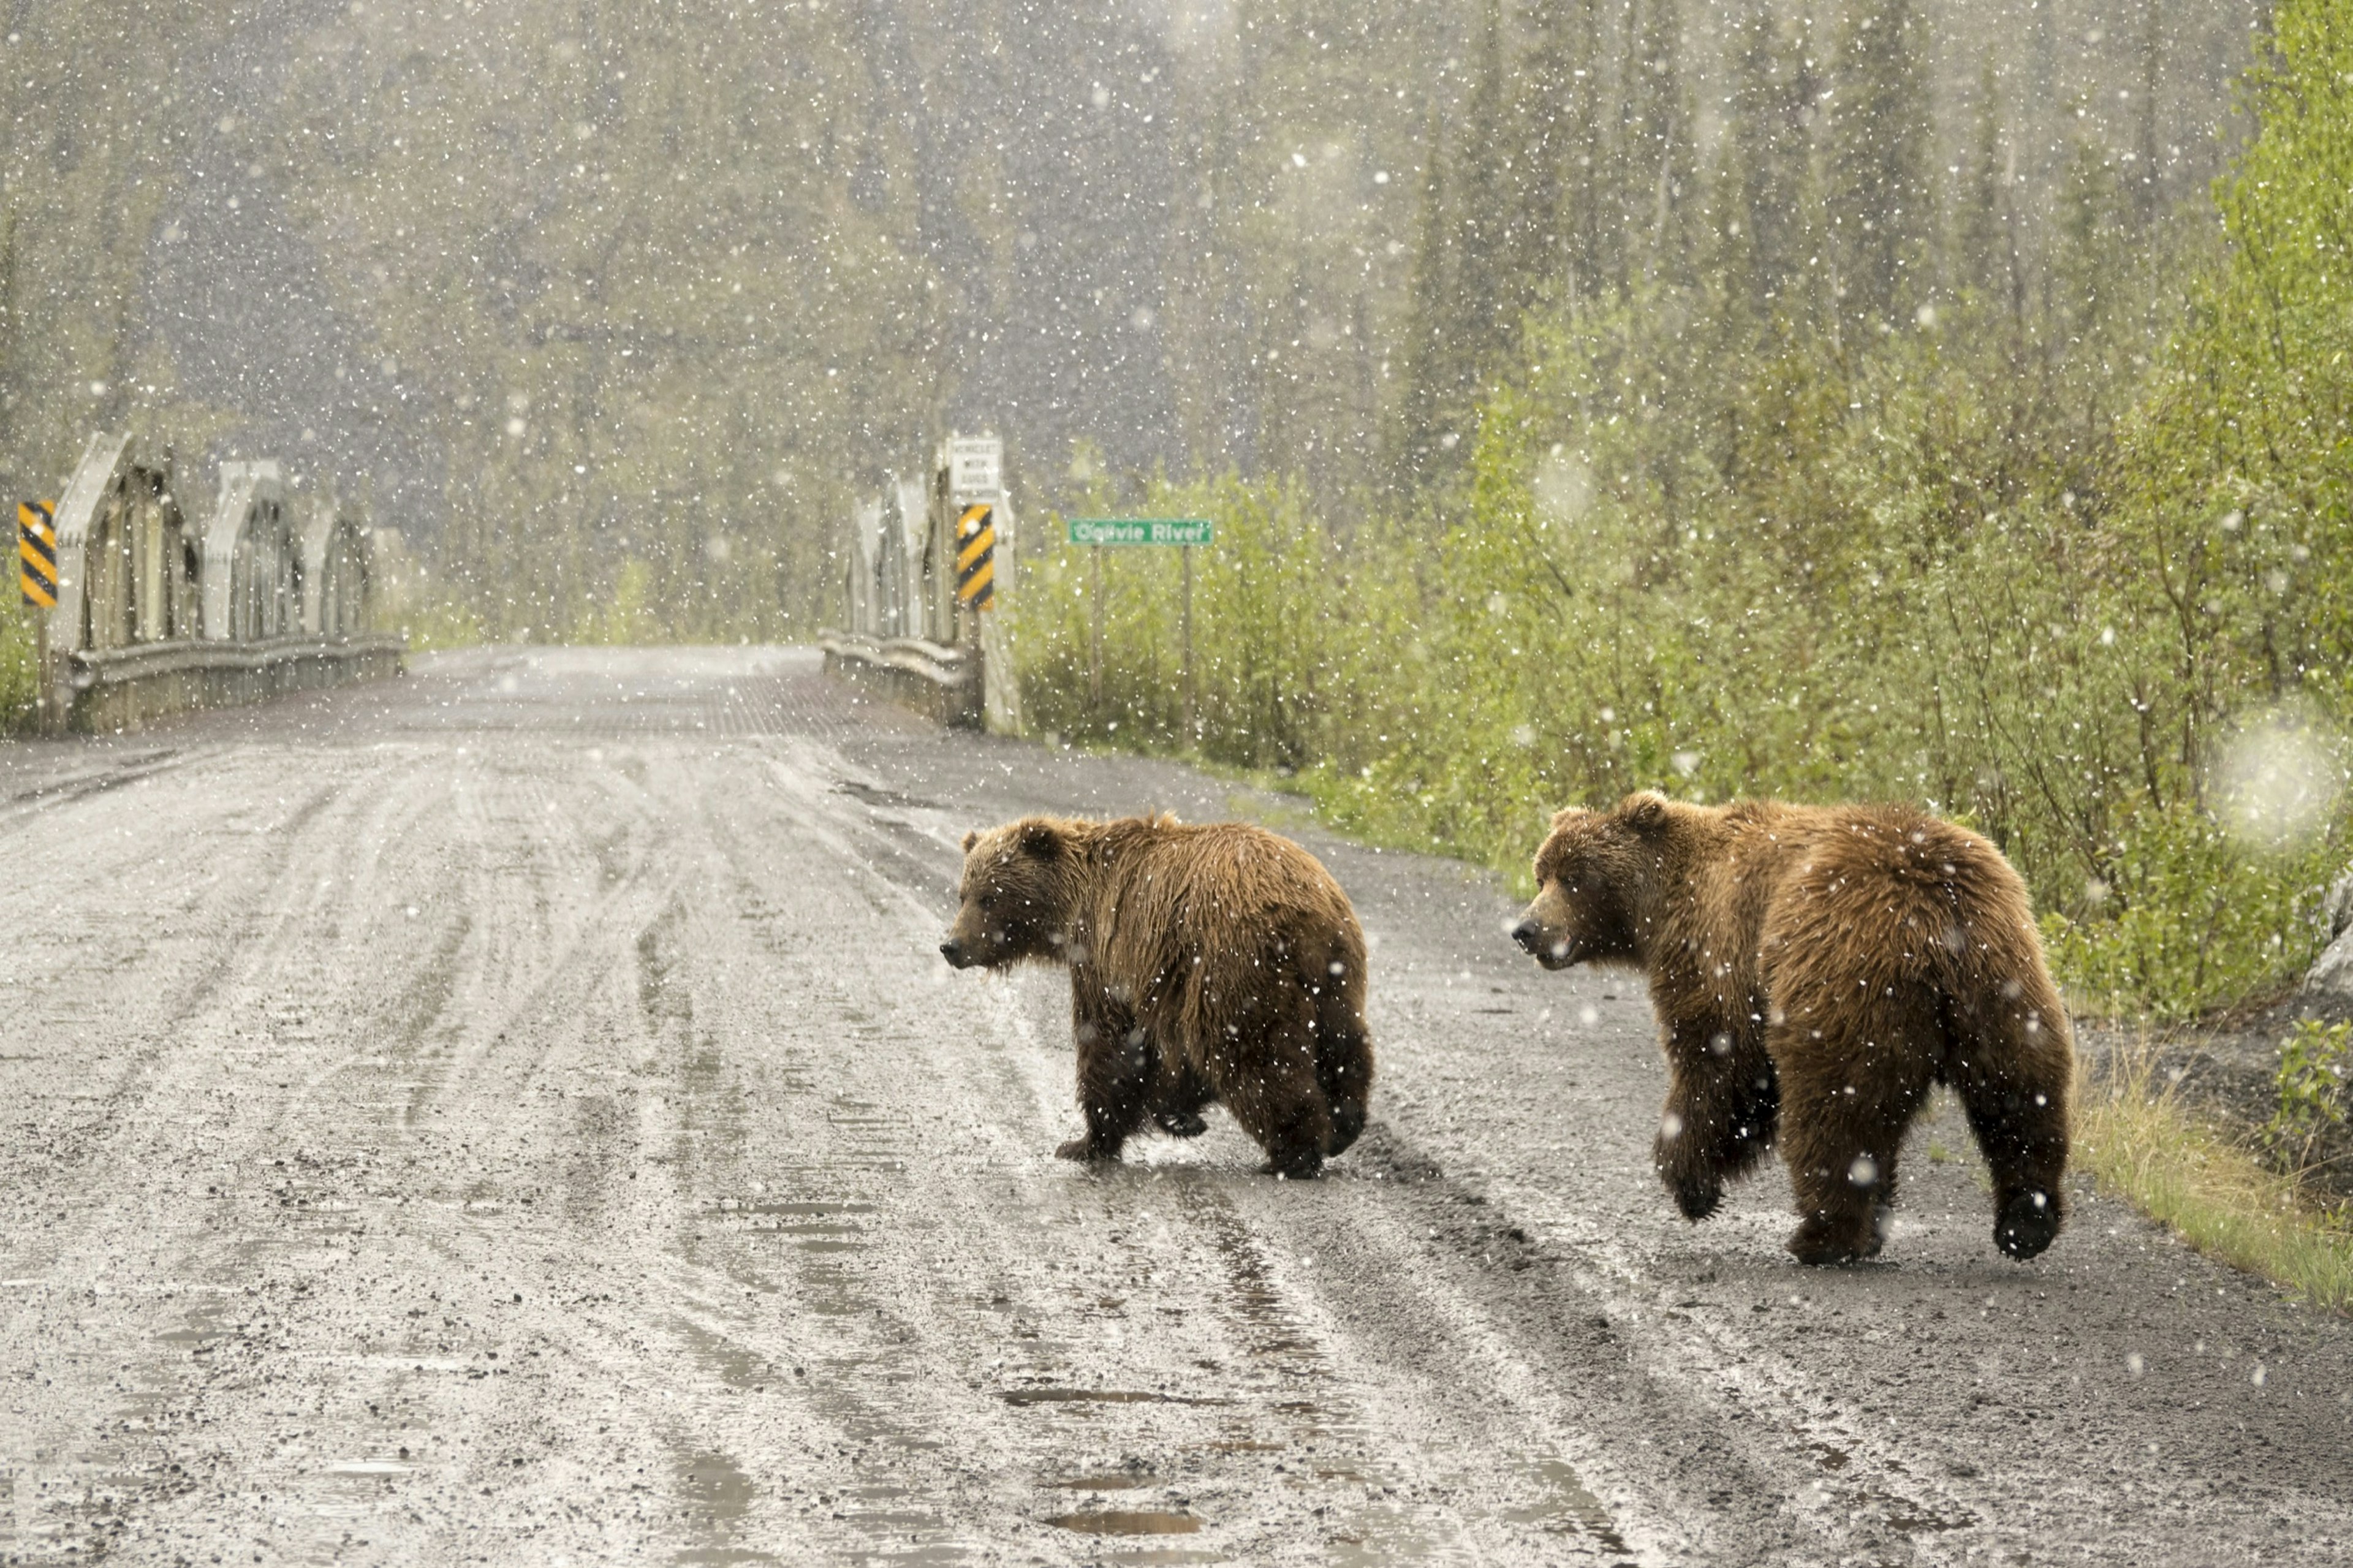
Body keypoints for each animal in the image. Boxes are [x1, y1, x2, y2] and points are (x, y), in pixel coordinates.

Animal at [941, 819, 1374, 1172]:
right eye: (963, 894)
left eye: (989, 897)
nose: (951, 946)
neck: (1074, 906)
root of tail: (1311, 912)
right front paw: (1182, 1115)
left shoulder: (1110, 956)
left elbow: (1110, 1042)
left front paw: (1084, 1142)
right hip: (1336, 977)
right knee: (1345, 1044)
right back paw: (1344, 1126)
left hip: (1237, 964)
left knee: (1252, 1054)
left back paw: (1295, 1152)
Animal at [1506, 795, 2080, 1262]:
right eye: (1542, 873)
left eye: (1575, 876)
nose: (1526, 929)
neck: (1660, 908)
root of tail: (1936, 912)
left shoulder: (1721, 952)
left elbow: (1723, 1062)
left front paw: (1692, 1184)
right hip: (2003, 979)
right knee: (2020, 1091)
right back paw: (2026, 1221)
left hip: (1842, 978)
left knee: (1834, 1110)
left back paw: (1823, 1237)